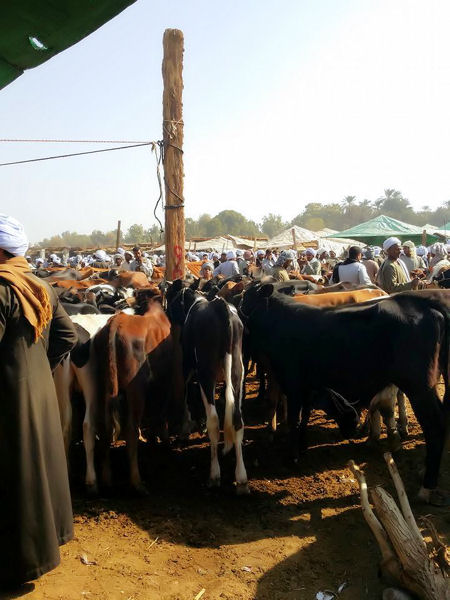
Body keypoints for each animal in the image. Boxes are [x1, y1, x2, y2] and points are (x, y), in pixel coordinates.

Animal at [241, 284, 450, 500]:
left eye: (245, 298)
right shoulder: (308, 386)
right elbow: (304, 418)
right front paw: (302, 447)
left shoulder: (293, 383)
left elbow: (294, 420)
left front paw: (293, 457)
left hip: (419, 387)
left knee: (435, 425)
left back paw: (426, 485)